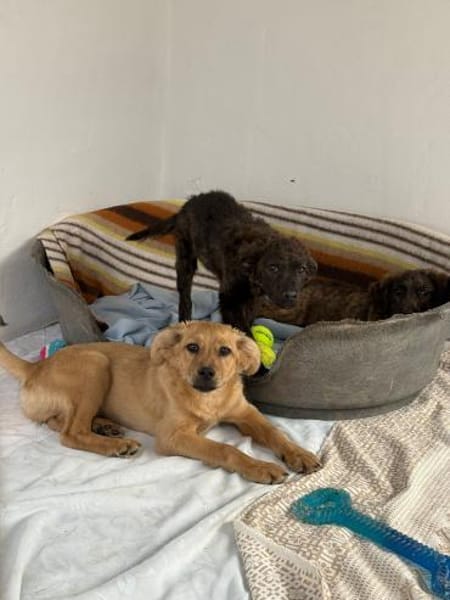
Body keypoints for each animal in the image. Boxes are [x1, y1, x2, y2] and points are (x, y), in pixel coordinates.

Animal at [0, 321, 321, 483]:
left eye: (225, 351)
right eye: (192, 347)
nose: (207, 373)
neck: (209, 398)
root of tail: (35, 367)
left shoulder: (245, 413)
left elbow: (274, 432)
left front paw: (299, 454)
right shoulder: (172, 436)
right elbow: (224, 449)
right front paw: (260, 467)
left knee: (59, 421)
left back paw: (105, 427)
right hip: (95, 364)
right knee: (71, 432)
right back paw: (115, 445)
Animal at [127, 191, 317, 335]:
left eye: (301, 269)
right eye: (273, 268)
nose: (291, 295)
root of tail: (189, 202)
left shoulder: (251, 299)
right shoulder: (229, 300)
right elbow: (242, 329)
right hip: (185, 256)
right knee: (185, 296)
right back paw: (185, 320)